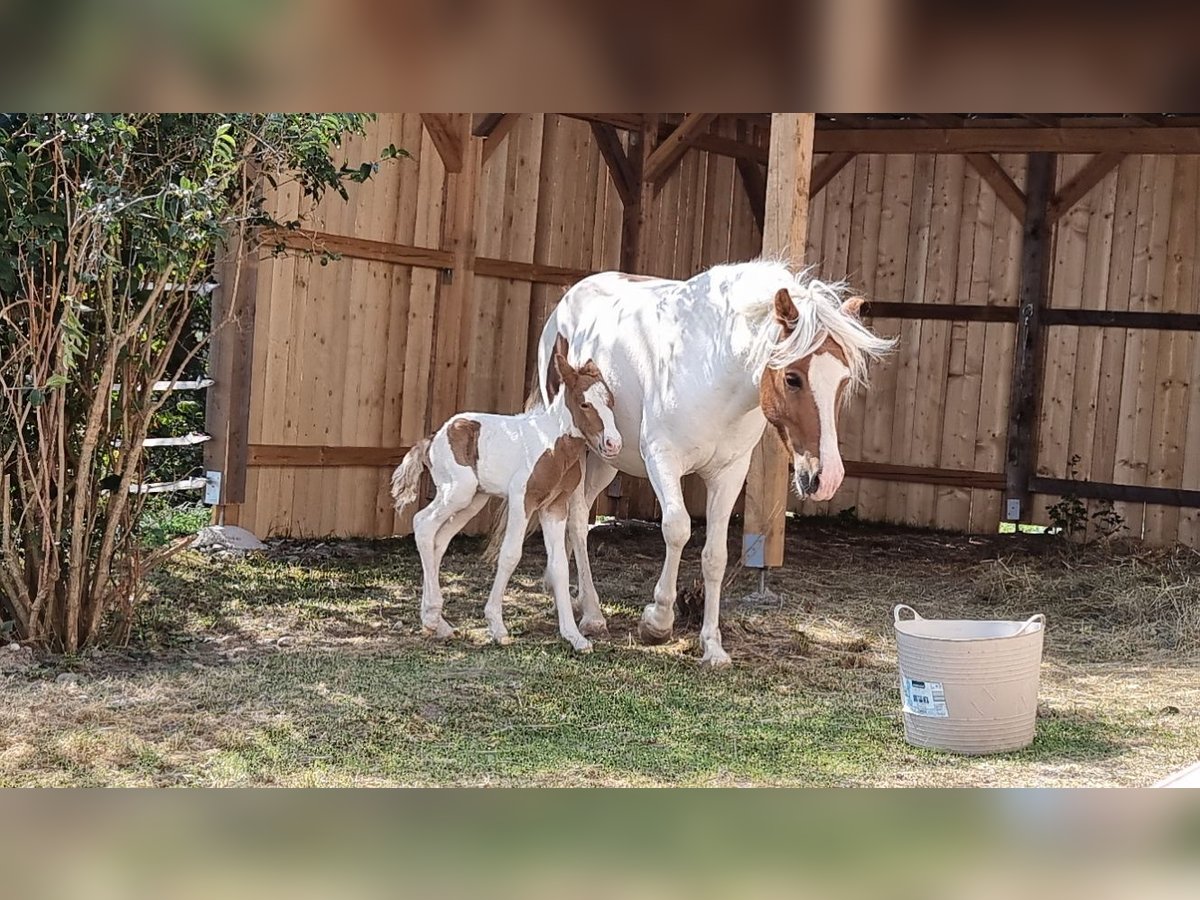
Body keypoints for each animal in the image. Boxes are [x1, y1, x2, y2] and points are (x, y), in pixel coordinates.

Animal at [391, 336, 624, 652]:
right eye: (584, 403)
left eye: (610, 401)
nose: (613, 443)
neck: (552, 444)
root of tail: (431, 439)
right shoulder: (522, 498)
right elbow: (511, 554)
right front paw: (497, 626)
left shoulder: (554, 507)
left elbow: (559, 566)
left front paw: (574, 636)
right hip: (457, 491)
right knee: (423, 524)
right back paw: (432, 617)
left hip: (473, 501)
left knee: (439, 539)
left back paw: (437, 622)